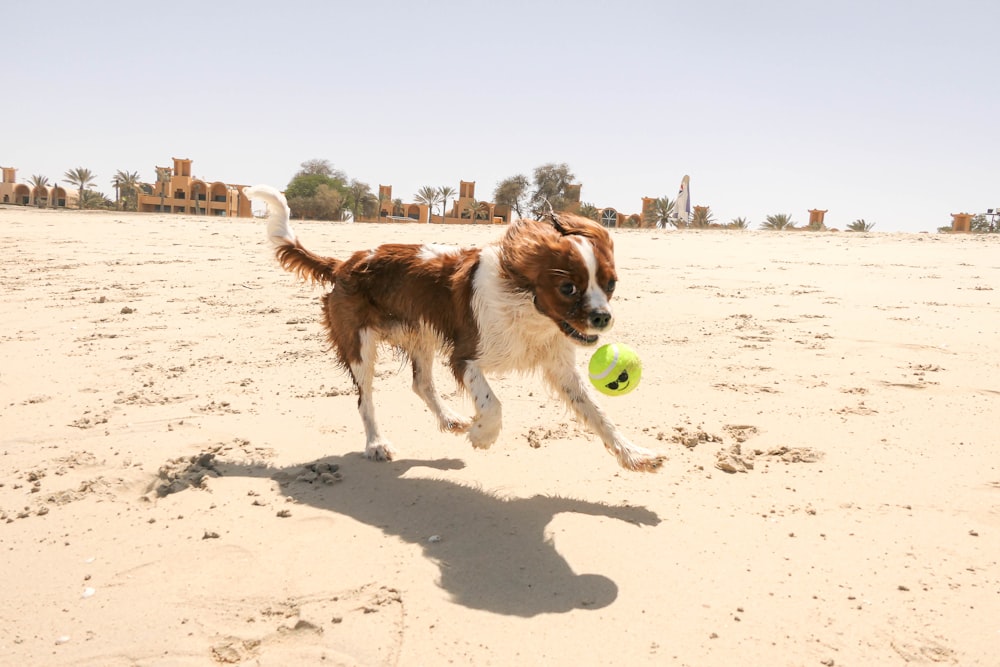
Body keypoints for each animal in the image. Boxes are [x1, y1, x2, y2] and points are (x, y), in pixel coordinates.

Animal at [243, 185, 664, 472]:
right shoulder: (466, 358)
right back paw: (377, 443)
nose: (602, 318)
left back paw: (449, 420)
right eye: (568, 288)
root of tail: (345, 263)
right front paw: (483, 435)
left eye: (610, 284)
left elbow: (599, 414)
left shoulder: (561, 369)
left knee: (421, 384)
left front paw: (634, 454)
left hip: (422, 335)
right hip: (360, 345)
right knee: (365, 400)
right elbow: (493, 404)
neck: (527, 307)